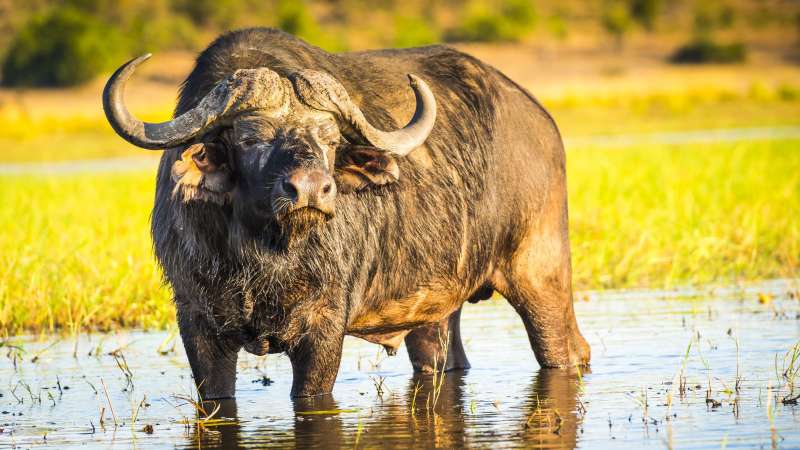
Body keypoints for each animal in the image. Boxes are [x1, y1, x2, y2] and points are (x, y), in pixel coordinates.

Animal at [102, 28, 590, 399]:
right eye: (250, 138)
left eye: (331, 139)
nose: (311, 190)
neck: (263, 256)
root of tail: (539, 118)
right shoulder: (198, 326)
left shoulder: (323, 328)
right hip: (436, 311)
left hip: (541, 276)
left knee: (569, 350)